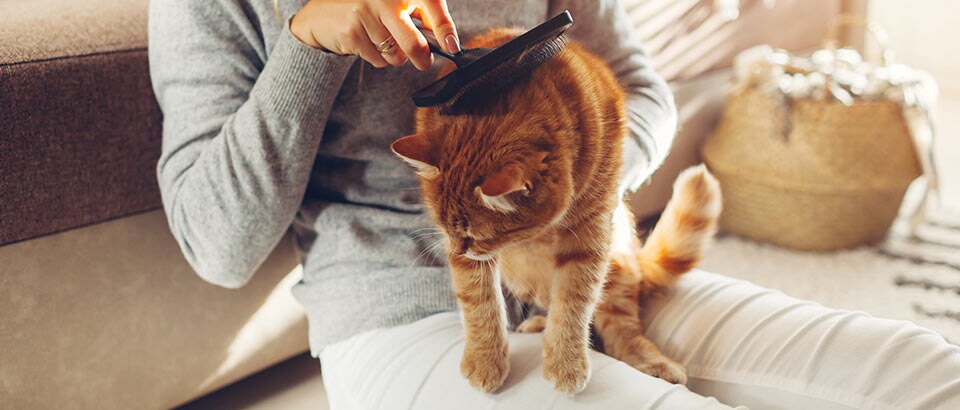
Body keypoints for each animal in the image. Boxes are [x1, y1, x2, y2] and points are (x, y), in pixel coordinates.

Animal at [392, 29, 720, 394]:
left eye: (473, 236)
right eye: (445, 228)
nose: (456, 249)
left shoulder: (591, 231)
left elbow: (574, 301)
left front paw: (565, 361)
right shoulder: (471, 263)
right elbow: (479, 302)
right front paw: (485, 359)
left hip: (617, 269)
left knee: (621, 333)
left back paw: (654, 363)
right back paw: (536, 325)